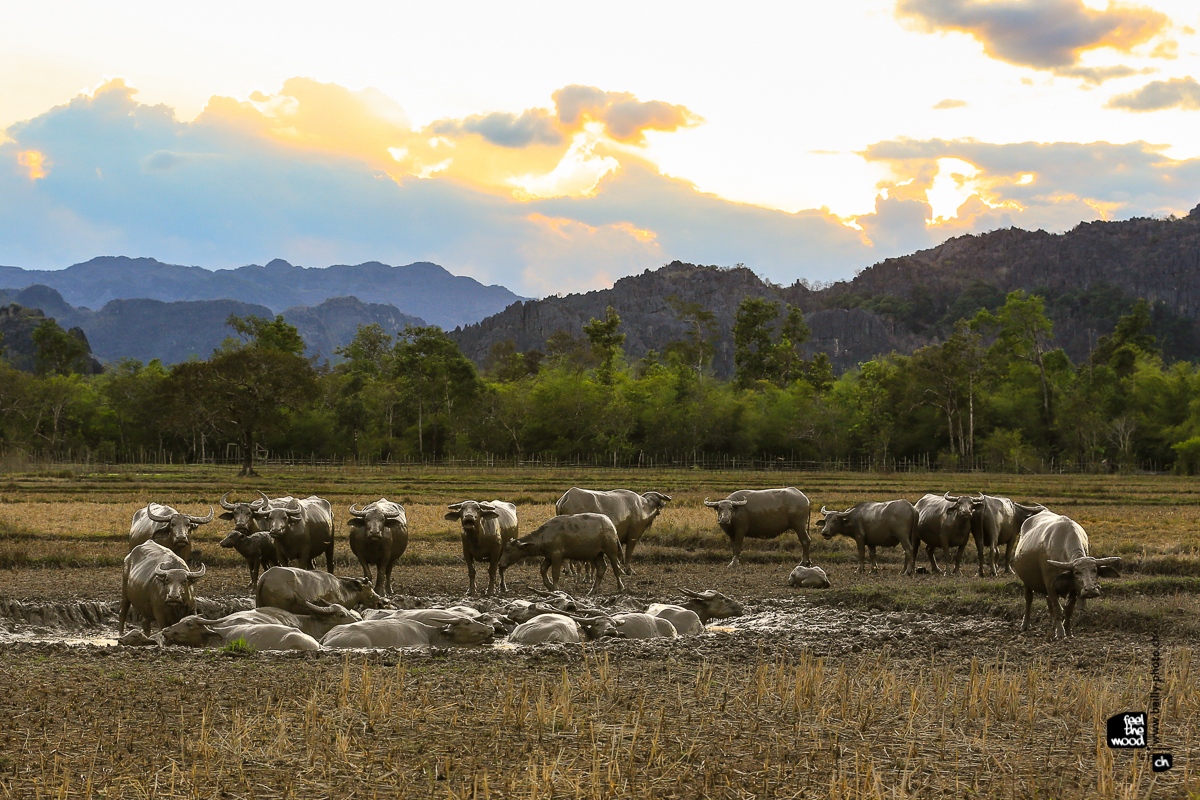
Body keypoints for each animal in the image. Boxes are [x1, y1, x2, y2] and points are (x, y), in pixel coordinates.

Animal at [496, 513, 628, 594]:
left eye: (508, 550)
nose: (500, 564)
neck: (544, 535)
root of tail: (611, 525)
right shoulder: (548, 556)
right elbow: (542, 569)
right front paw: (549, 586)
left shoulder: (556, 555)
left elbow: (555, 572)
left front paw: (555, 588)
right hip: (597, 554)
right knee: (601, 568)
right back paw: (593, 590)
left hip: (611, 550)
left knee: (616, 567)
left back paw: (621, 587)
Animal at [1012, 510, 1123, 642]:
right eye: (1076, 572)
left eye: (1095, 570)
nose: (1090, 590)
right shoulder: (1050, 584)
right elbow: (1058, 608)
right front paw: (1060, 633)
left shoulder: (1074, 588)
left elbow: (1068, 609)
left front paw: (1068, 631)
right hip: (1027, 582)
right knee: (1029, 599)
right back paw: (1025, 625)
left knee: (1048, 602)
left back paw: (1054, 625)